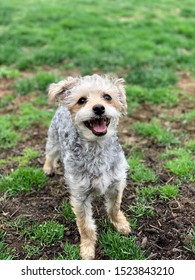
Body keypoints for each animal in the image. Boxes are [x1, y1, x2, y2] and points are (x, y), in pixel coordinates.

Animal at [42, 75, 131, 260]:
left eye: (107, 97)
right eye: (81, 100)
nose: (98, 108)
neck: (97, 148)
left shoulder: (116, 184)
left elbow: (114, 207)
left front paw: (120, 224)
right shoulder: (80, 196)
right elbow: (85, 225)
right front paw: (88, 249)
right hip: (53, 139)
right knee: (50, 153)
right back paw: (48, 168)